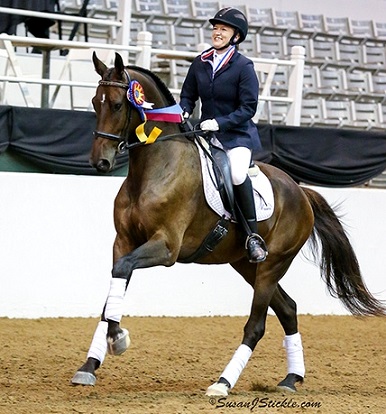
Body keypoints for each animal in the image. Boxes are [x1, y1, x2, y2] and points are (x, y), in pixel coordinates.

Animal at [71, 53, 384, 396]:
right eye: (94, 102)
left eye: (116, 105)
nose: (99, 162)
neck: (154, 167)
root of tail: (301, 191)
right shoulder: (124, 242)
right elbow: (114, 285)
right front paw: (89, 365)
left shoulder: (165, 247)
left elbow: (124, 270)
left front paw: (118, 338)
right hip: (247, 265)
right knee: (288, 309)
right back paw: (291, 379)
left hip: (272, 264)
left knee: (256, 326)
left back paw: (223, 383)